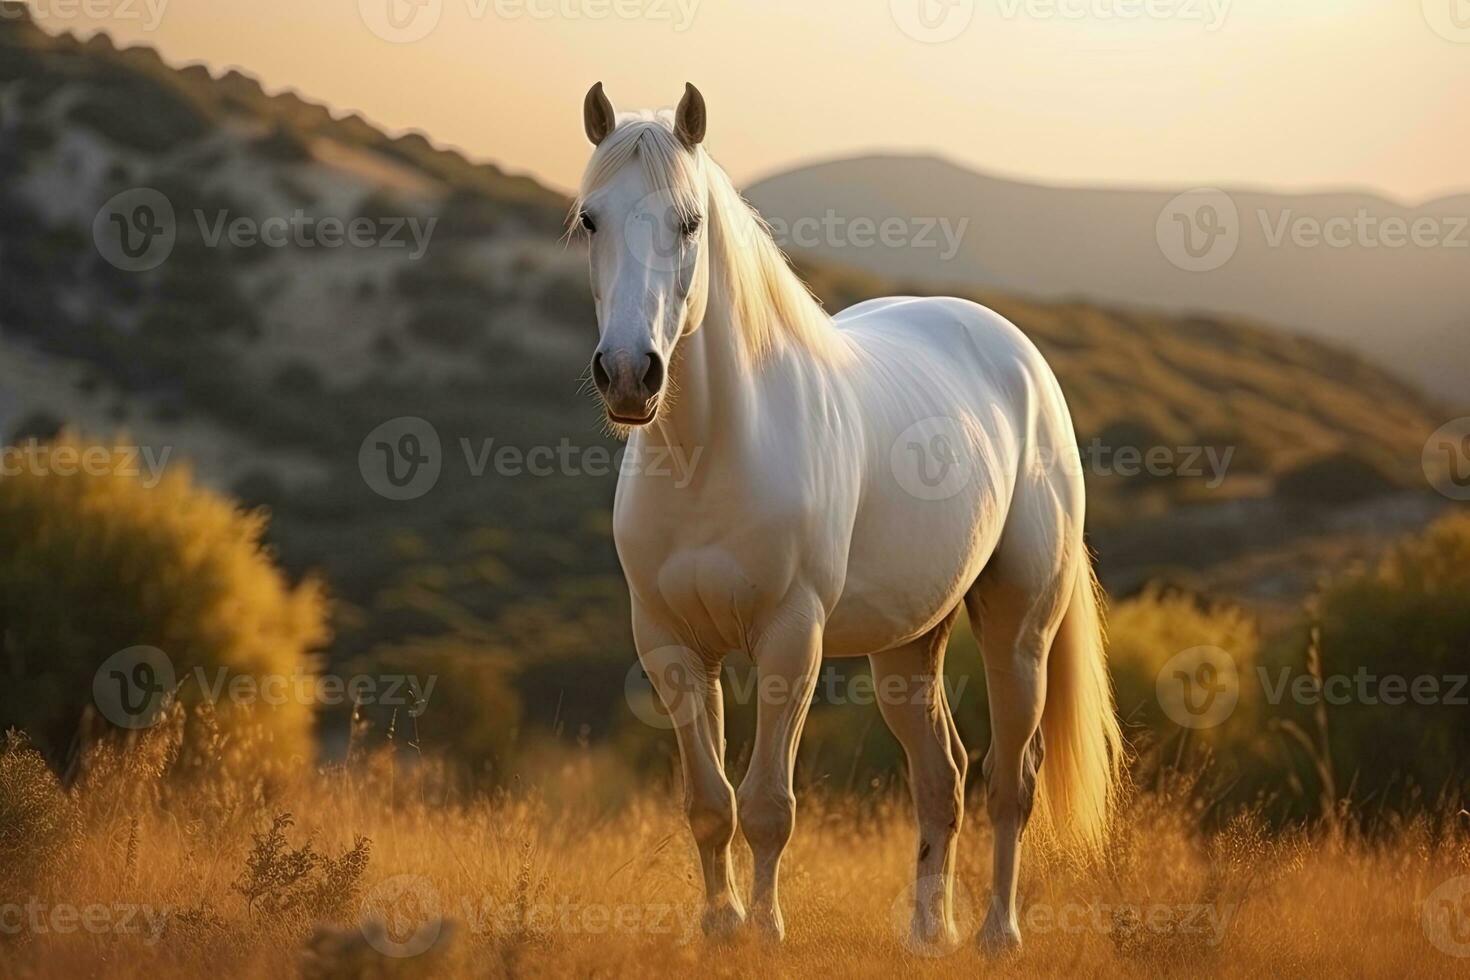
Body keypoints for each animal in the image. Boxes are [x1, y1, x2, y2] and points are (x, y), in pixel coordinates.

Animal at [570, 84, 1111, 957]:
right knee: (942, 777)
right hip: (908, 648)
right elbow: (709, 803)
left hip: (1020, 629)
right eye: (590, 218)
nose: (628, 375)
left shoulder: (792, 640)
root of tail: (1017, 354)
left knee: (1012, 780)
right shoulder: (670, 645)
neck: (714, 453)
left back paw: (998, 934)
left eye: (690, 221)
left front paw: (766, 931)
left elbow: (768, 806)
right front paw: (719, 927)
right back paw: (928, 933)